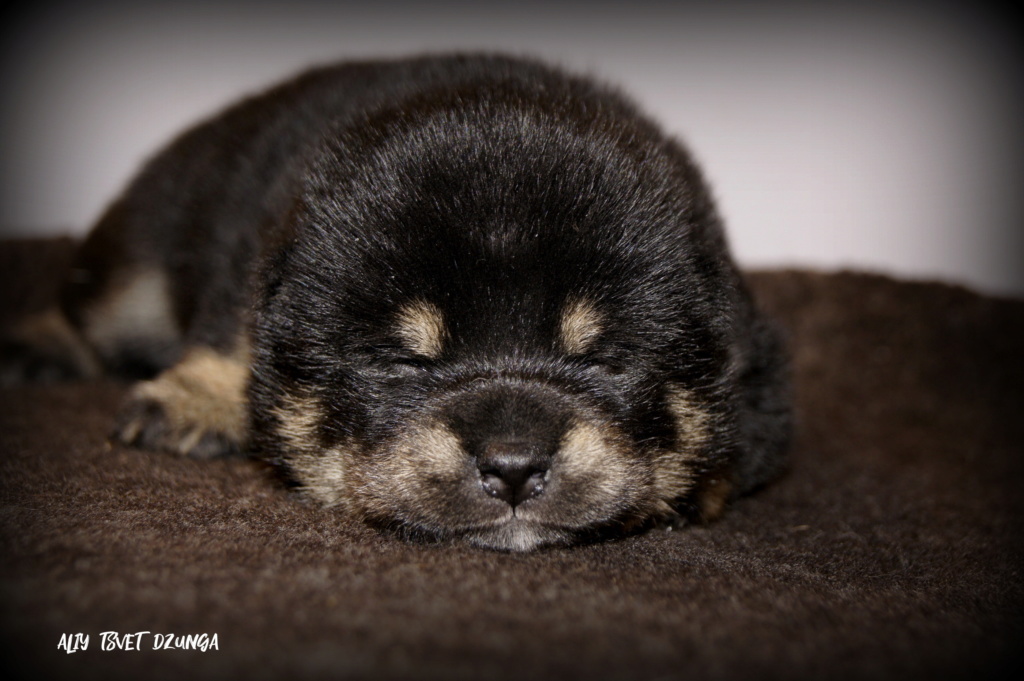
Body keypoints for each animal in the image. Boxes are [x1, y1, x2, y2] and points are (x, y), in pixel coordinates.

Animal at [2, 55, 790, 548]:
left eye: (603, 359)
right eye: (405, 362)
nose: (513, 467)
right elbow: (234, 333)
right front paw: (196, 399)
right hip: (135, 270)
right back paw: (34, 345)